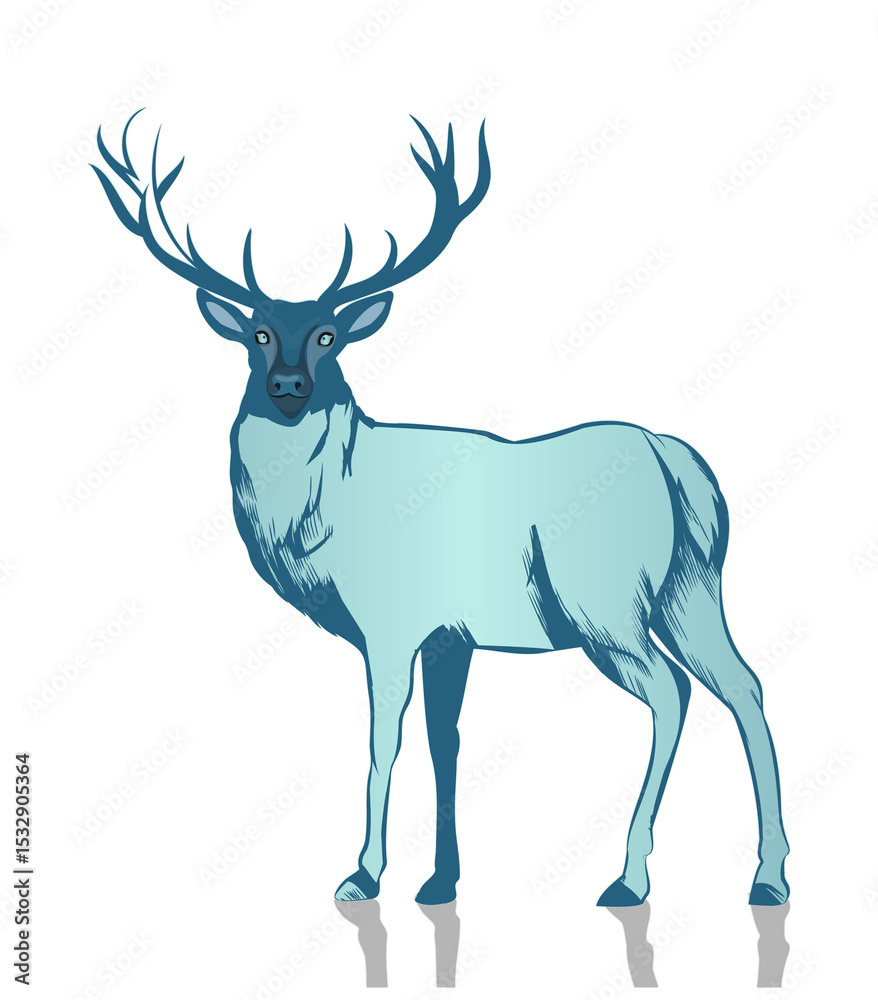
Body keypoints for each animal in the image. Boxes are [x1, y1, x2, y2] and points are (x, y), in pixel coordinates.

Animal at [92, 111, 790, 908]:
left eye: (329, 334)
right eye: (259, 333)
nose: (290, 386)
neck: (320, 522)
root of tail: (677, 464)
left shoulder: (391, 623)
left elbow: (384, 740)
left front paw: (363, 873)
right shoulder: (450, 636)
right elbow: (444, 742)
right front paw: (440, 880)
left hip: (604, 600)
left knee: (672, 692)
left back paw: (630, 876)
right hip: (692, 588)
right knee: (743, 683)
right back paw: (769, 877)